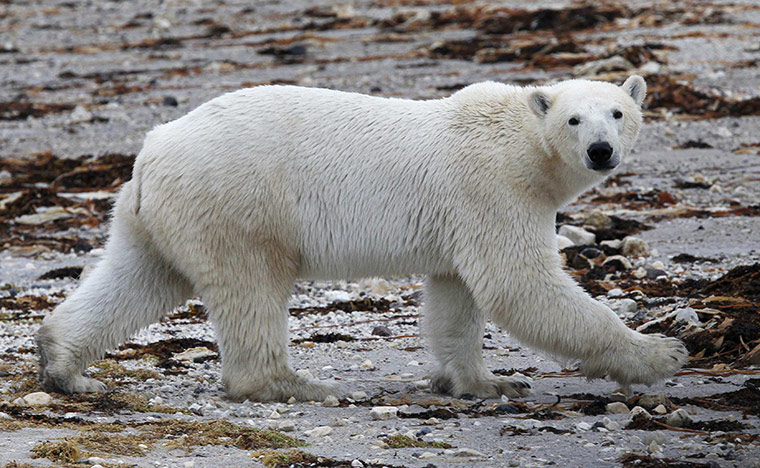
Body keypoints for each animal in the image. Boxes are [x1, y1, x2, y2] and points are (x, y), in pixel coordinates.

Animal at [37, 75, 688, 402]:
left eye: (618, 112)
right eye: (574, 119)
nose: (601, 150)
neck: (519, 142)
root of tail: (153, 149)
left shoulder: (464, 216)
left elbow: (457, 297)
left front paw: (485, 381)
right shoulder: (492, 189)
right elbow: (518, 285)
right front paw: (661, 354)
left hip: (156, 214)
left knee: (138, 275)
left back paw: (64, 365)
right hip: (237, 202)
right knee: (251, 286)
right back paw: (294, 385)